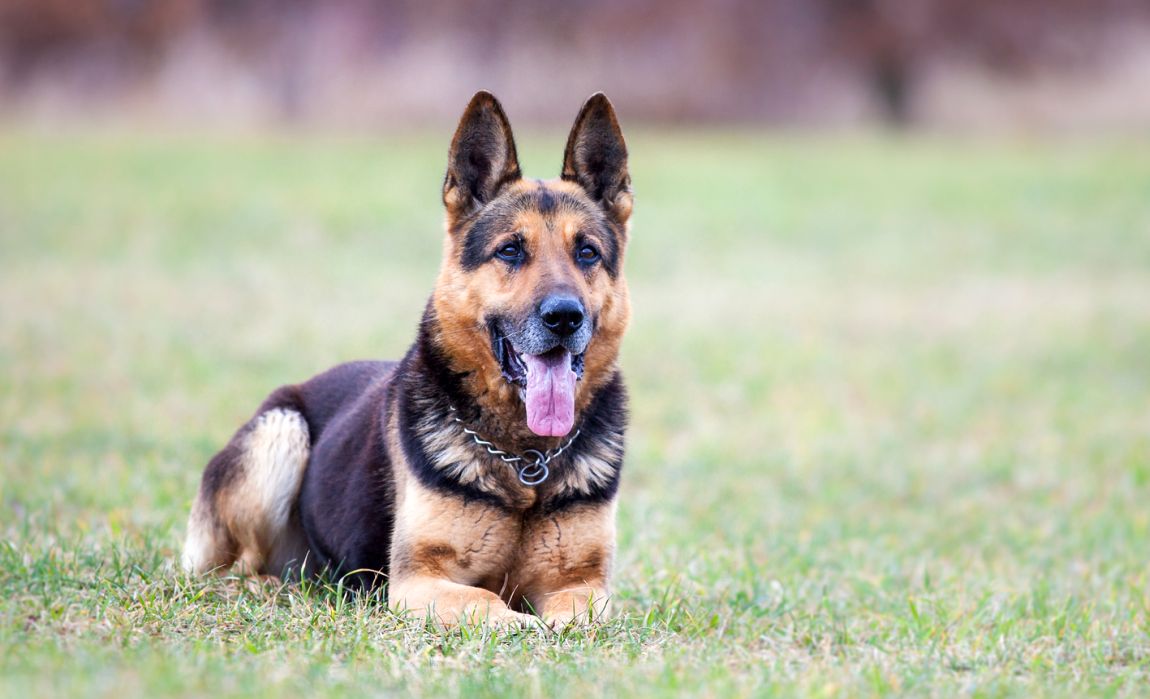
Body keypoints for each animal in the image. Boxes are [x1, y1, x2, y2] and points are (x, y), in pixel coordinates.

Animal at [180, 90, 634, 625]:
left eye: (587, 253)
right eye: (510, 251)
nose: (564, 317)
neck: (525, 461)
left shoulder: (584, 584)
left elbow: (577, 616)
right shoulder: (418, 580)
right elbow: (486, 601)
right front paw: (521, 624)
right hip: (280, 433)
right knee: (238, 568)